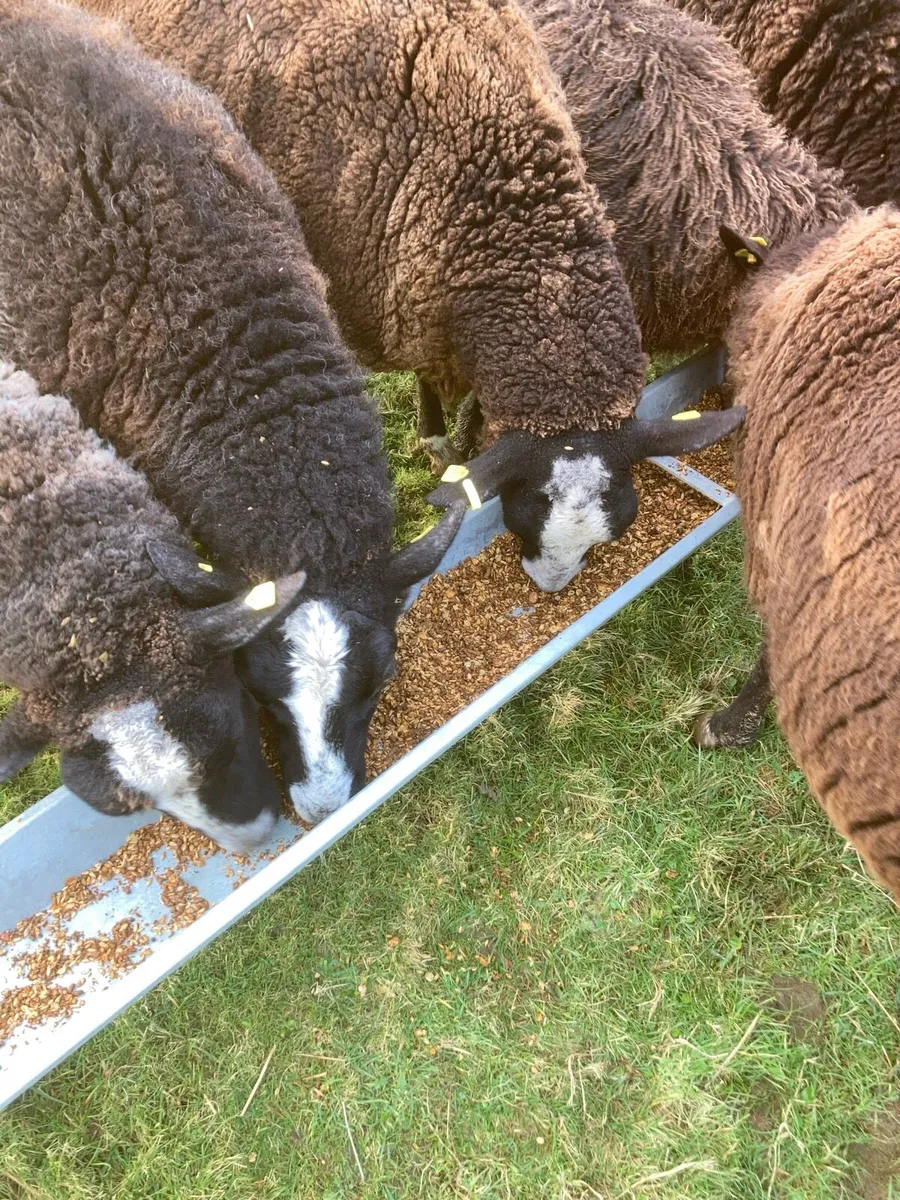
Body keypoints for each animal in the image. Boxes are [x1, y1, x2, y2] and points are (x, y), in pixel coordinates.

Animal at [80, 0, 743, 593]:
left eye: (611, 531)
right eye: (523, 516)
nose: (549, 588)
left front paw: (468, 435)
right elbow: (423, 379)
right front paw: (436, 439)